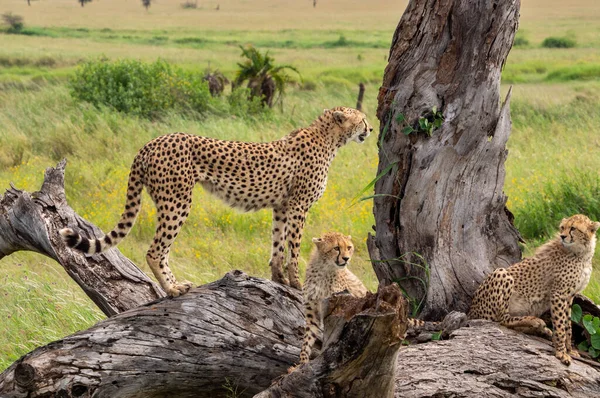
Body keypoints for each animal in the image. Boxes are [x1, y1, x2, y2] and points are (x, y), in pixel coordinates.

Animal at [59, 106, 370, 296]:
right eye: (362, 119)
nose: (370, 129)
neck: (329, 138)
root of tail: (152, 141)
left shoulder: (282, 206)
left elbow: (277, 246)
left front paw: (279, 280)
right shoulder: (298, 206)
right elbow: (293, 247)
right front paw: (295, 282)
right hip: (177, 200)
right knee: (156, 250)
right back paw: (172, 289)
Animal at [468, 215, 600, 364]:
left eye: (573, 228)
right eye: (562, 227)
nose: (562, 236)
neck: (581, 254)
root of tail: (470, 311)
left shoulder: (570, 295)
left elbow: (568, 325)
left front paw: (570, 350)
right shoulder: (558, 294)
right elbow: (560, 325)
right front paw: (561, 352)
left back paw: (541, 329)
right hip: (502, 273)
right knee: (502, 319)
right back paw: (535, 322)